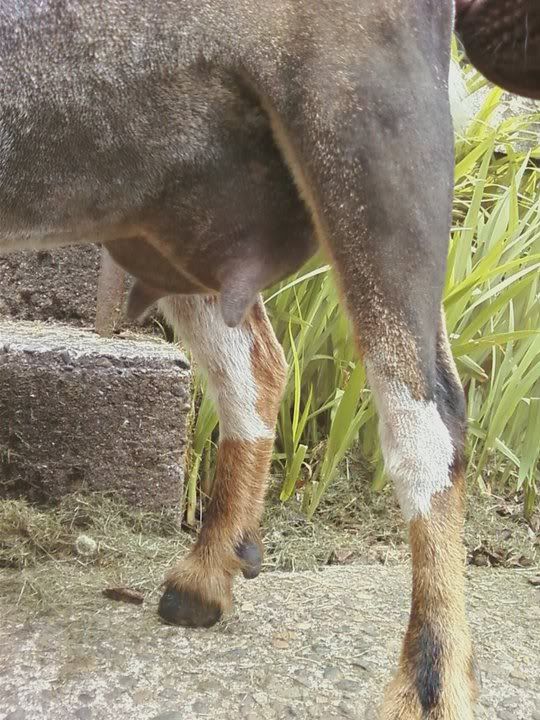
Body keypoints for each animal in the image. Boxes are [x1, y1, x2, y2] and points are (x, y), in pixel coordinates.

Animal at [1, 1, 537, 718]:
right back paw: (205, 576)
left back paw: (431, 685)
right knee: (255, 366)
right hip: (169, 209)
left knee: (429, 417)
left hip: (371, 128)